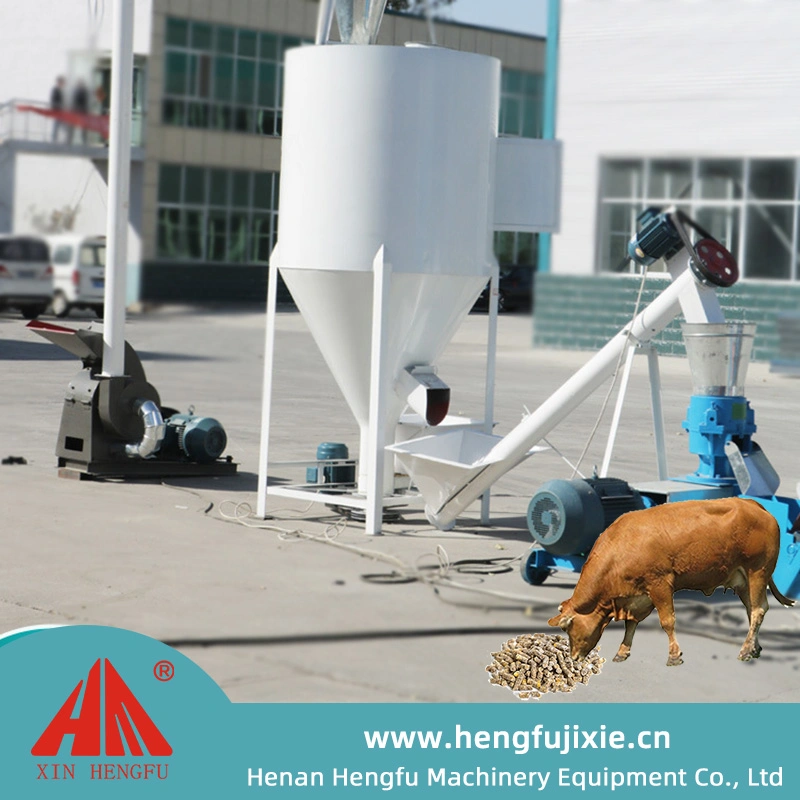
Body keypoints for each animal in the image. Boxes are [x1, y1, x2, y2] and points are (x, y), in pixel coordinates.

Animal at [548, 496, 792, 664]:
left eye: (568, 627)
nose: (574, 657)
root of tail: (753, 504)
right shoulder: (636, 596)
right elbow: (631, 624)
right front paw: (622, 651)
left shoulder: (660, 584)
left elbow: (667, 621)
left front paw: (674, 656)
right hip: (743, 581)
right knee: (753, 610)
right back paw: (754, 648)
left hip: (757, 571)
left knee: (758, 610)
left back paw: (745, 650)